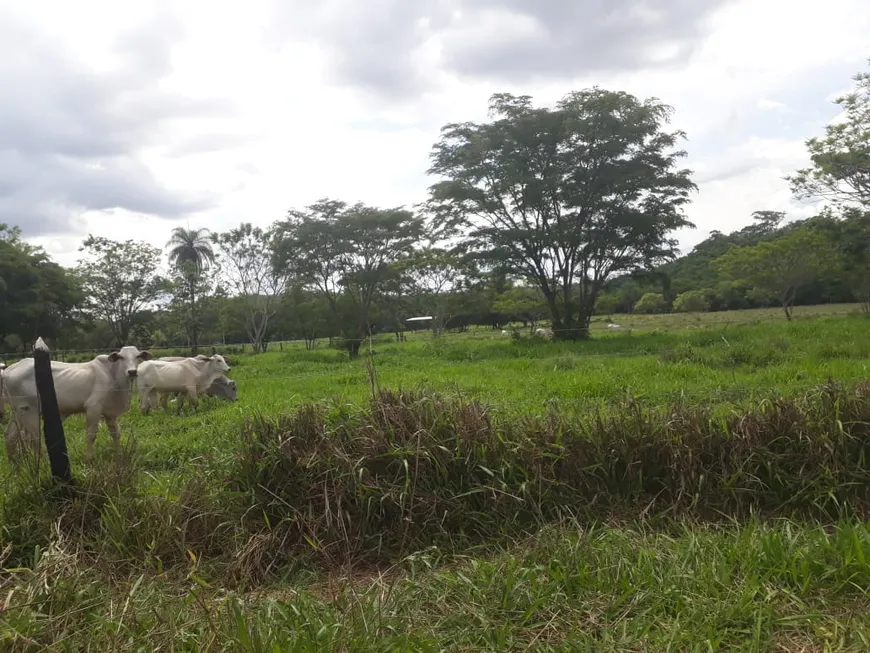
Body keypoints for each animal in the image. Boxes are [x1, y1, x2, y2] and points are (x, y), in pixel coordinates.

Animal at [1, 344, 153, 460]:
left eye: (138, 356)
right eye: (121, 357)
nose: (132, 371)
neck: (114, 377)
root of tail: (8, 370)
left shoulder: (110, 414)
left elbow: (116, 434)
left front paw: (120, 455)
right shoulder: (93, 408)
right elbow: (91, 435)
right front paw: (89, 459)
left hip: (17, 412)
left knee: (10, 435)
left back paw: (14, 463)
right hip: (28, 411)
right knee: (34, 438)